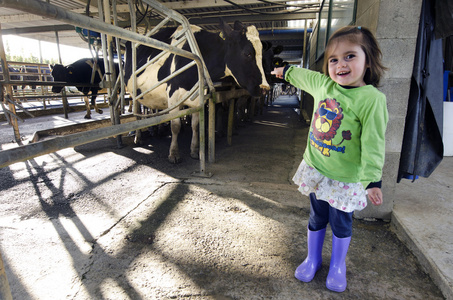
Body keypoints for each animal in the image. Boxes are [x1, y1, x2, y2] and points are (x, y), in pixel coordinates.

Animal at [123, 19, 268, 163]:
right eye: (247, 53)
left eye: (262, 53)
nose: (265, 88)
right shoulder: (173, 96)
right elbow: (175, 126)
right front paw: (174, 154)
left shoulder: (198, 99)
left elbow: (196, 125)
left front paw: (194, 150)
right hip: (134, 93)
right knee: (137, 114)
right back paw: (138, 138)